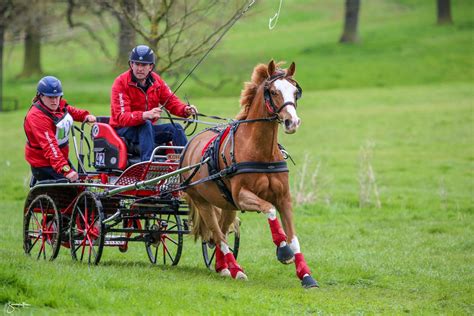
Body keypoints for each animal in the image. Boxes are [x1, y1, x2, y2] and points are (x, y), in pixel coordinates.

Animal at [181, 59, 318, 288]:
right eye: (273, 91)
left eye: (295, 92)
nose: (292, 122)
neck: (261, 152)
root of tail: (189, 145)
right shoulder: (243, 196)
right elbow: (269, 209)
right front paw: (282, 250)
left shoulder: (284, 198)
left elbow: (294, 238)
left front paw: (306, 275)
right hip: (203, 203)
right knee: (219, 236)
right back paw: (236, 270)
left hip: (227, 205)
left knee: (222, 232)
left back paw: (223, 267)